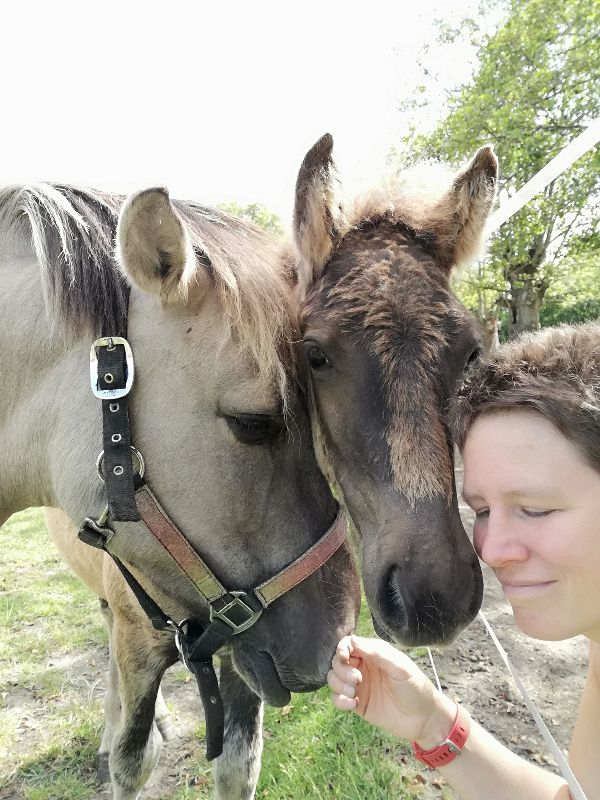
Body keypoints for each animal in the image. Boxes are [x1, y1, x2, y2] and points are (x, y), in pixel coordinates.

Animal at [0, 184, 358, 796]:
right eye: (252, 422)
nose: (335, 637)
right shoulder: (141, 649)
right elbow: (133, 762)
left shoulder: (236, 657)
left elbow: (239, 765)